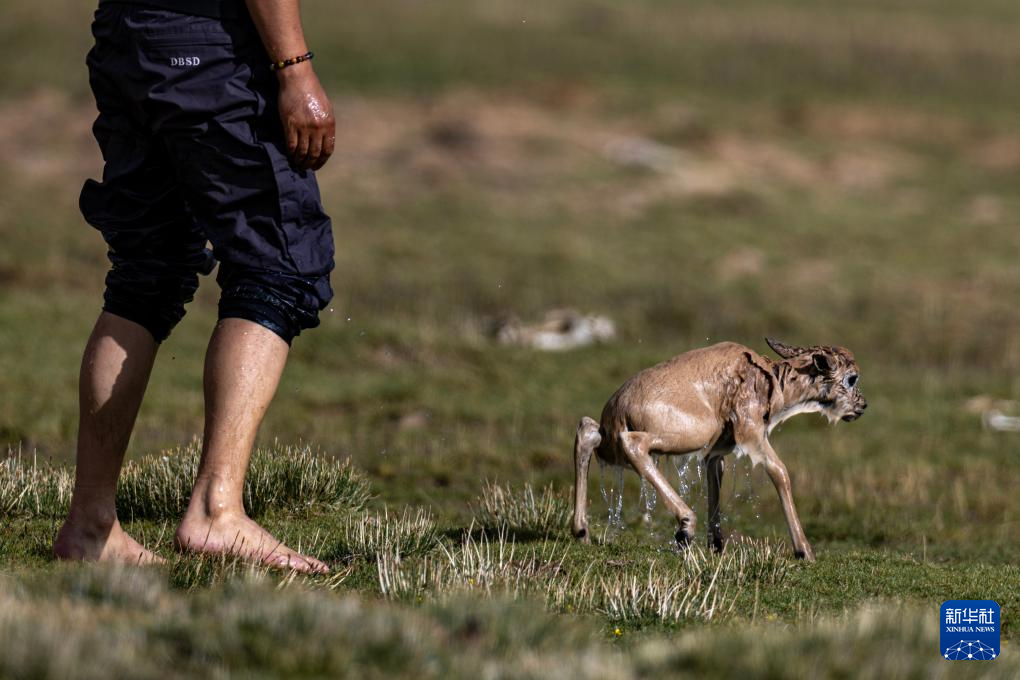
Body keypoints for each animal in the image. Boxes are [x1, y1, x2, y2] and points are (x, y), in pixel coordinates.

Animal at [571, 337, 866, 561]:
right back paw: (685, 527)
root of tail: (617, 408)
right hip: (689, 434)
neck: (773, 379)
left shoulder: (717, 453)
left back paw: (581, 532)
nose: (862, 406)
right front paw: (805, 551)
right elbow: (780, 472)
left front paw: (716, 547)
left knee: (586, 430)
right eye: (852, 378)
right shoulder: (752, 435)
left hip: (609, 444)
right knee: (633, 442)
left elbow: (715, 482)